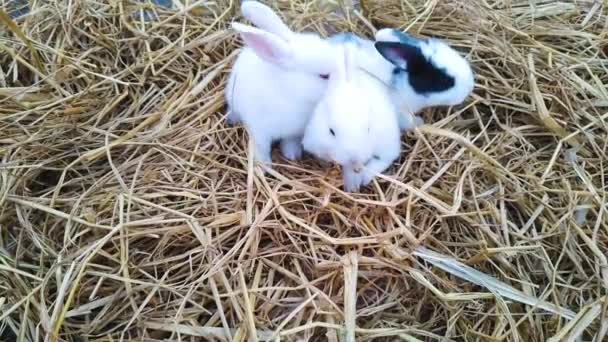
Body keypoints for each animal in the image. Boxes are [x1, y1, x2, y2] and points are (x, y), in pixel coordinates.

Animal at [224, 1, 338, 164]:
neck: (291, 93)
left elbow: (289, 142)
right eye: (324, 76)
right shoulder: (259, 130)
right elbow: (262, 148)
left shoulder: (293, 133)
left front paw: (292, 155)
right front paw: (264, 164)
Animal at [302, 42, 402, 192]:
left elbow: (380, 161)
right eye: (331, 131)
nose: (354, 158)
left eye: (368, 128)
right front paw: (351, 185)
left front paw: (357, 181)